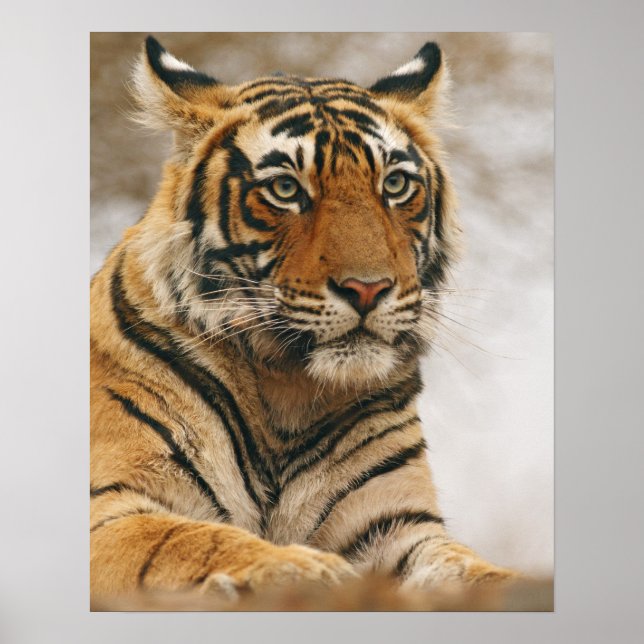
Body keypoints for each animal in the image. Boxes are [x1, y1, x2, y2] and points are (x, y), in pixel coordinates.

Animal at [90, 35, 517, 603]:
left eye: (395, 184)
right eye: (286, 190)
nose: (368, 288)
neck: (286, 389)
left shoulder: (397, 524)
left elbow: (469, 569)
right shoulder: (113, 504)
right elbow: (189, 540)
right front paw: (301, 569)